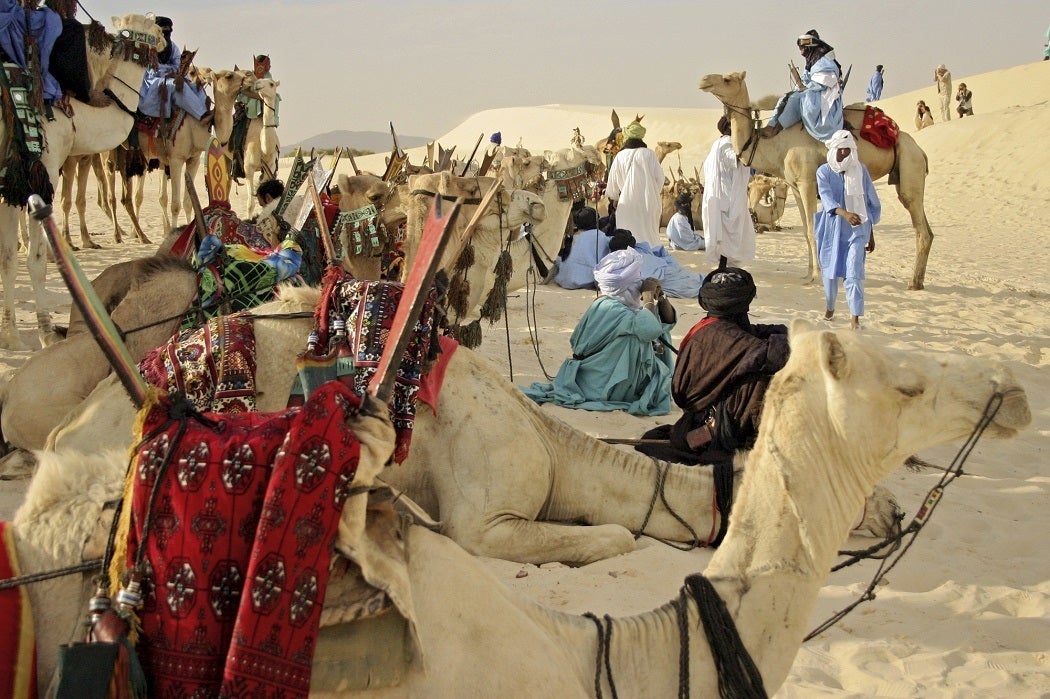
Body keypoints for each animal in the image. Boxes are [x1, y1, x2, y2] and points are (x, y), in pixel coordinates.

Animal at [0, 17, 164, 350]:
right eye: (154, 31)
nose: (167, 44)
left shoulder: (13, 180)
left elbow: (8, 257)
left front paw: (10, 336)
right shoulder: (44, 168)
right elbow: (36, 258)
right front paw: (47, 333)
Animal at [697, 70, 936, 287]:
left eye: (727, 79)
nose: (704, 80)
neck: (776, 145)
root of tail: (920, 150)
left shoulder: (807, 183)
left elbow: (813, 231)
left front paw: (819, 277)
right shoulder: (794, 186)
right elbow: (805, 232)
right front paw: (808, 275)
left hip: (910, 163)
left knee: (920, 227)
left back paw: (913, 282)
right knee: (927, 229)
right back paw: (918, 280)